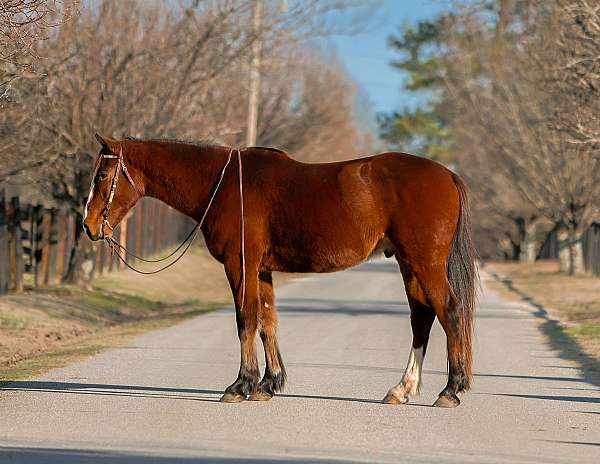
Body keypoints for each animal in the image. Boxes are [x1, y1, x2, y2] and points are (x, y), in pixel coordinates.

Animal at [83, 133, 478, 406]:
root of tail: (447, 175)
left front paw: (240, 385)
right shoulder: (261, 270)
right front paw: (268, 384)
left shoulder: (240, 265)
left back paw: (451, 390)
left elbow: (246, 320)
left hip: (424, 263)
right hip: (409, 265)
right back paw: (401, 389)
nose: (88, 226)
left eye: (102, 175)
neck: (223, 184)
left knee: (450, 311)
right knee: (422, 318)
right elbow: (267, 322)